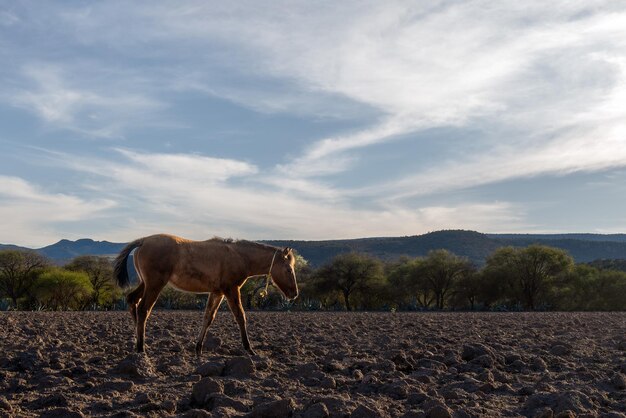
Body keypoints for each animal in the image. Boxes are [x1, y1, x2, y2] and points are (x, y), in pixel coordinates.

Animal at [112, 233, 298, 354]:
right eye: (289, 269)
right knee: (143, 310)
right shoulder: (231, 290)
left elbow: (208, 318)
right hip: (154, 285)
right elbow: (240, 316)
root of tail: (143, 241)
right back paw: (141, 348)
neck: (239, 256)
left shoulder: (217, 293)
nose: (294, 293)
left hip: (146, 284)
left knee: (132, 301)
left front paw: (198, 348)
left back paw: (139, 343)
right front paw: (249, 349)